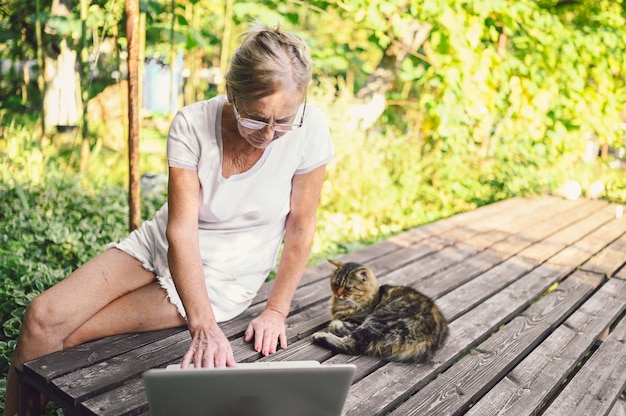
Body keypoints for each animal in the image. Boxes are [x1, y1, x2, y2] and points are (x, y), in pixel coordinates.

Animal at [310, 262, 446, 362]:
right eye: (335, 284)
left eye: (348, 288)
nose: (338, 295)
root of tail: (429, 340)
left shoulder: (359, 321)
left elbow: (337, 324)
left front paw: (335, 325)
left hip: (377, 320)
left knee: (351, 346)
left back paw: (319, 336)